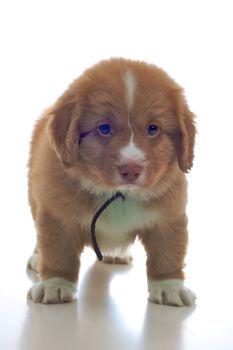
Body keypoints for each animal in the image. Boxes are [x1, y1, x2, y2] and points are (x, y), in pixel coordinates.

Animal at [26, 58, 197, 306]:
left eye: (153, 129)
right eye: (104, 128)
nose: (131, 170)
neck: (117, 194)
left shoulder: (168, 217)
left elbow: (167, 254)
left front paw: (170, 288)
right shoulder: (57, 214)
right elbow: (58, 252)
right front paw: (54, 284)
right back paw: (36, 258)